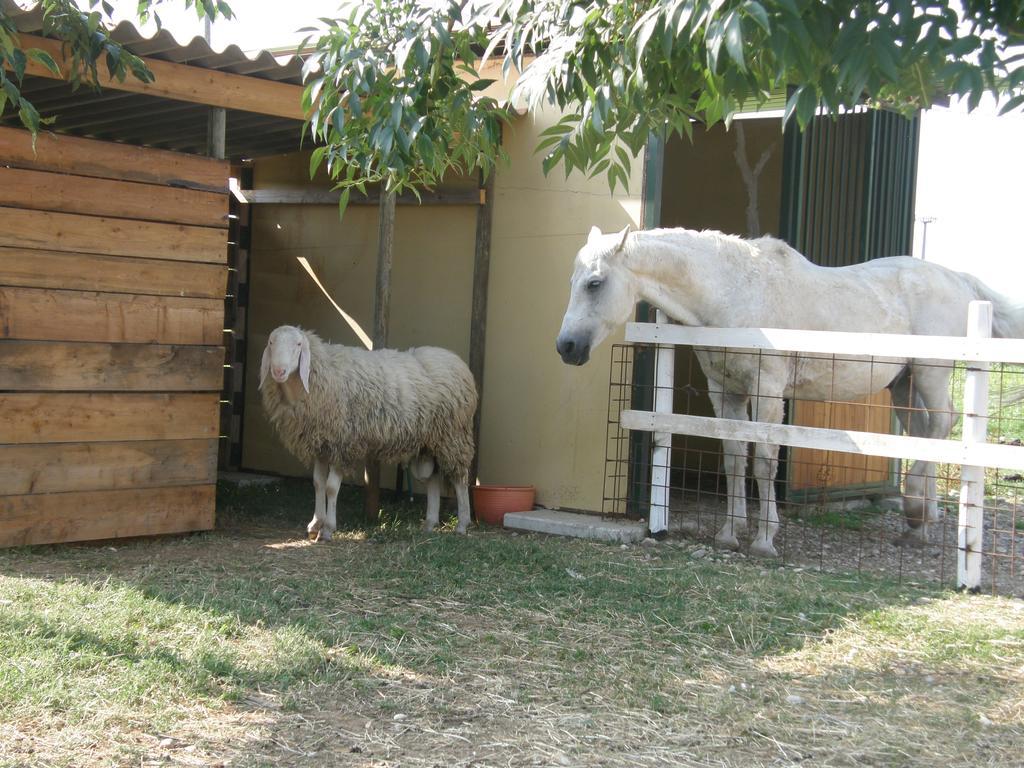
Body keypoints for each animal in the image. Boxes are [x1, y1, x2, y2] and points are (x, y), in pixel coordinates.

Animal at [258, 325, 477, 540]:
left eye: (298, 344)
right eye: (271, 342)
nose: (278, 371)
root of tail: (456, 361)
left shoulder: (342, 444)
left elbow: (330, 488)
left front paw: (328, 528)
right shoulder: (321, 444)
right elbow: (318, 484)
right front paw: (315, 524)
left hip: (453, 436)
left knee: (460, 478)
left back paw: (462, 524)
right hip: (428, 444)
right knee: (432, 479)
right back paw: (430, 523)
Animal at [561, 225, 1024, 557]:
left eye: (595, 283)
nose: (566, 347)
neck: (735, 293)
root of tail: (957, 278)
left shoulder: (767, 390)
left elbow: (765, 461)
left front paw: (765, 540)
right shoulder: (725, 392)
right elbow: (734, 458)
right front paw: (730, 533)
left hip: (931, 373)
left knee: (943, 425)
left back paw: (915, 511)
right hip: (903, 384)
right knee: (924, 434)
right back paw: (920, 525)